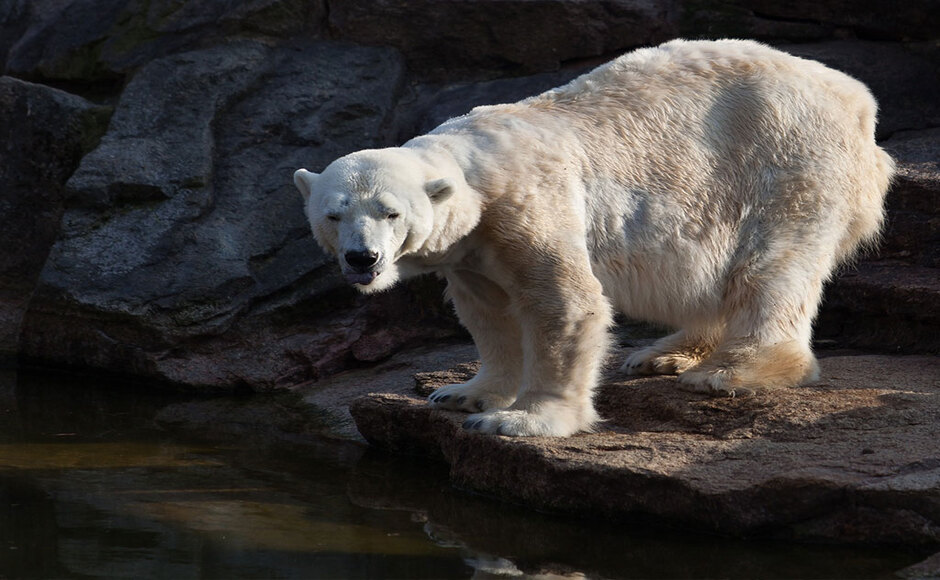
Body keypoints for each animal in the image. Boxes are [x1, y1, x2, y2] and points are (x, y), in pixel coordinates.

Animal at [296, 39, 896, 436]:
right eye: (333, 214)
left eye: (390, 212)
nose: (362, 257)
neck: (478, 174)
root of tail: (856, 97)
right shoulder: (470, 251)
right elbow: (488, 313)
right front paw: (463, 394)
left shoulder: (528, 207)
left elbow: (564, 304)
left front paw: (523, 419)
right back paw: (665, 354)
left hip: (786, 162)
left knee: (771, 268)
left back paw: (729, 371)